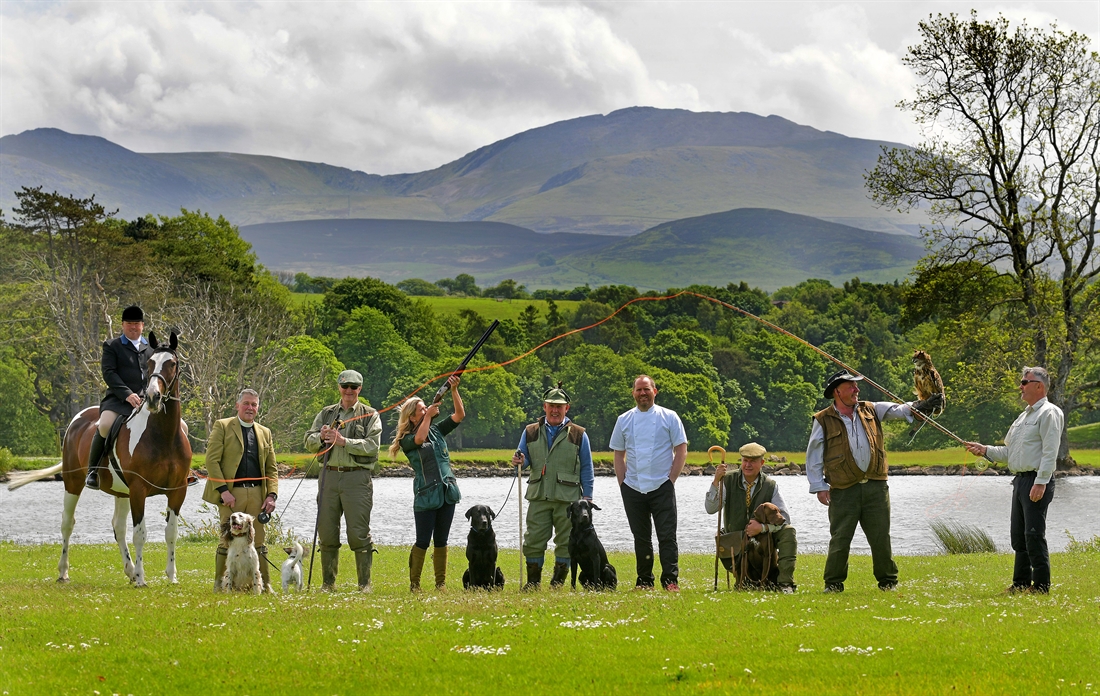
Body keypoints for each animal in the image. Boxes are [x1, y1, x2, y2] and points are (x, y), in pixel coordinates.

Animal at [8, 332, 193, 584]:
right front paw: (142, 578)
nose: (153, 398)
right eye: (149, 363)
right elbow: (140, 534)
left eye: (172, 363)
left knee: (118, 527)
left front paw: (171, 576)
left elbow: (171, 532)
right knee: (67, 523)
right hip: (73, 483)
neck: (162, 435)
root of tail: (79, 418)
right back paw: (64, 572)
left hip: (121, 491)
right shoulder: (139, 489)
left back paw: (129, 570)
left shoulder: (177, 490)